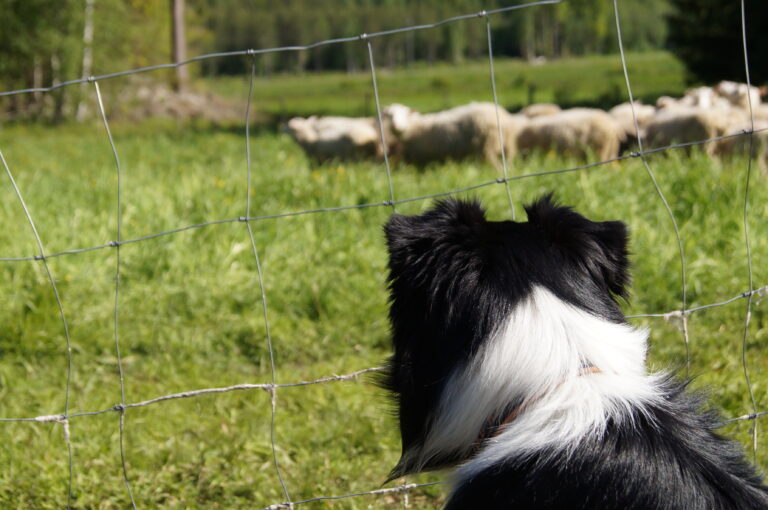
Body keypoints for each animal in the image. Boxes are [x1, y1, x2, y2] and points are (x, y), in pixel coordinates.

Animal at [380, 102, 524, 167]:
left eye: (405, 114)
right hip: (508, 144)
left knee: (494, 162)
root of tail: (504, 117)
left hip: (488, 144)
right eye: (389, 115)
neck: (415, 126)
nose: (396, 126)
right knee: (509, 159)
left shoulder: (422, 158)